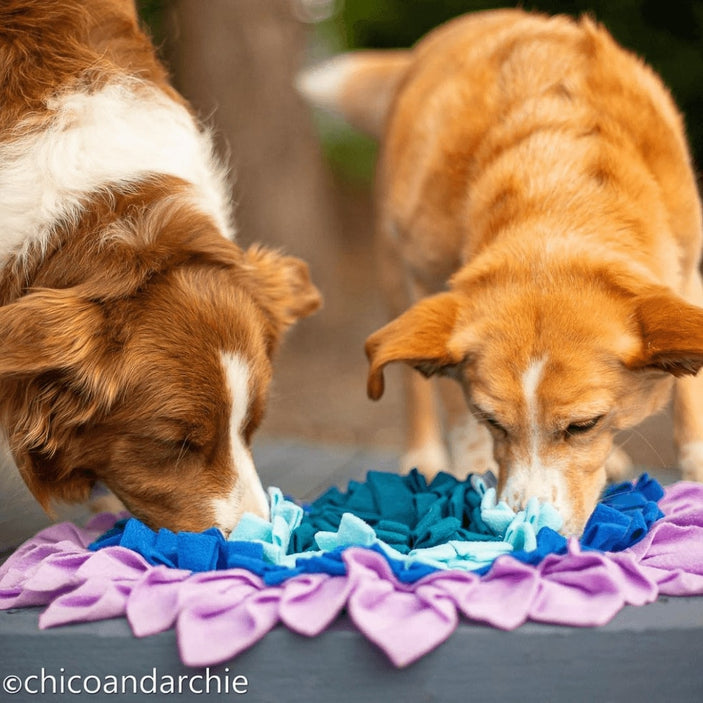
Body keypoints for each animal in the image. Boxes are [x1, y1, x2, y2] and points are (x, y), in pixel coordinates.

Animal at [302, 9, 703, 532]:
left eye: (584, 425)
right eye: (493, 421)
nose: (530, 526)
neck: (557, 192)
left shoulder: (687, 280)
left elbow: (692, 419)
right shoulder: (432, 292)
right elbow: (459, 423)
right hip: (394, 277)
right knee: (411, 387)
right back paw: (422, 456)